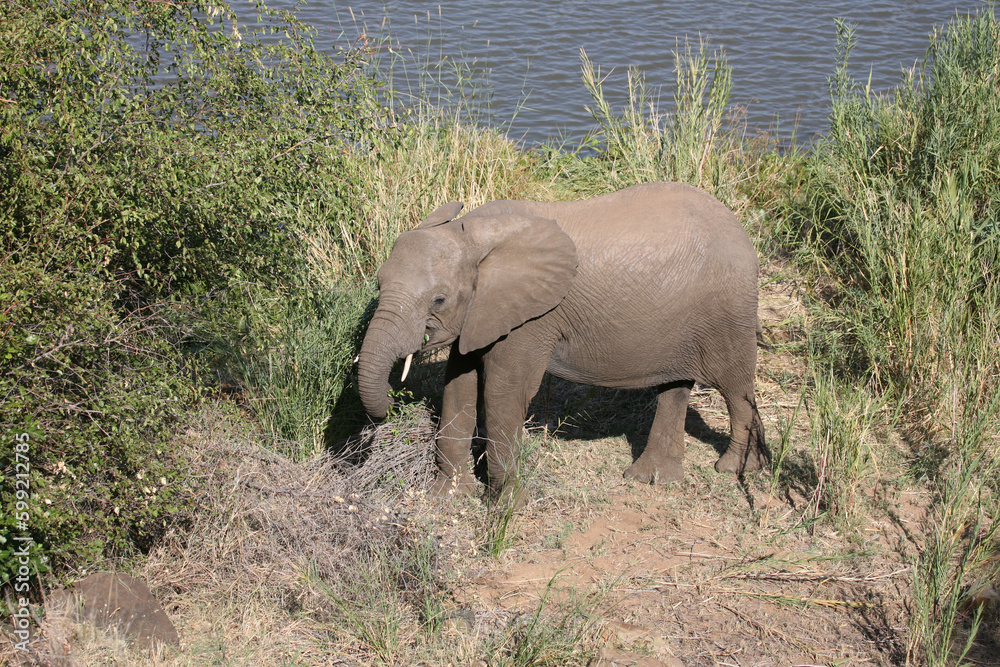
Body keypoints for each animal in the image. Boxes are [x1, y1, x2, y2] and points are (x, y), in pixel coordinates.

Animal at [357, 182, 767, 501]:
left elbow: (504, 392)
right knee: (675, 387)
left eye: (438, 300)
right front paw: (449, 498)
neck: (472, 231)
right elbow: (459, 385)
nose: (394, 401)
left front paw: (508, 506)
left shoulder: (532, 318)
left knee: (735, 388)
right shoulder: (481, 313)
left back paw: (735, 469)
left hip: (728, 311)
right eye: (377, 283)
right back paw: (651, 479)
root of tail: (739, 226)